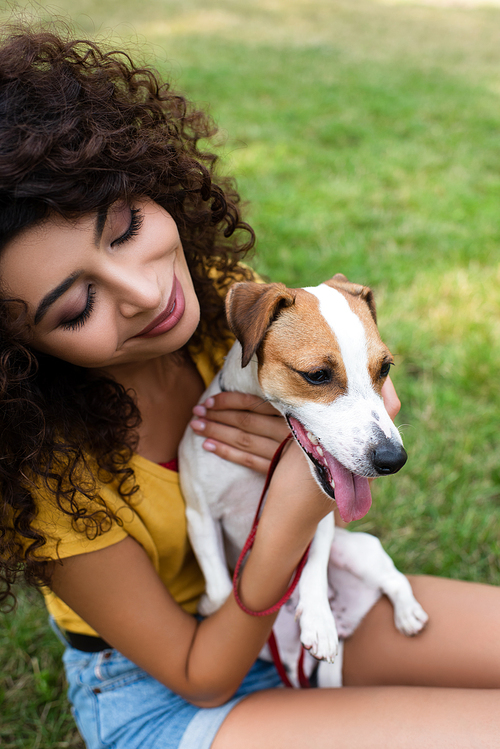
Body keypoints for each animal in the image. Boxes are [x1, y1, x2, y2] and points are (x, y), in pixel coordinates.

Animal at [178, 274, 428, 684]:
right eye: (316, 375)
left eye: (385, 369)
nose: (394, 459)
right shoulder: (200, 516)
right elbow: (217, 586)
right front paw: (212, 608)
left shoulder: (320, 519)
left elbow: (313, 564)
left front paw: (318, 620)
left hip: (356, 548)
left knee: (392, 578)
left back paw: (406, 613)